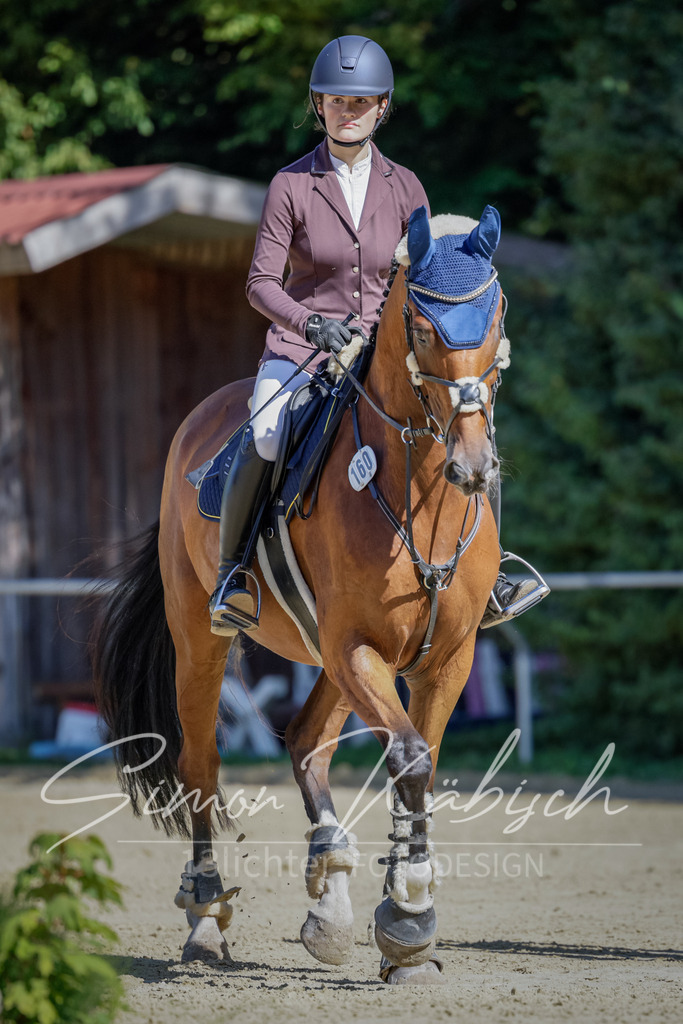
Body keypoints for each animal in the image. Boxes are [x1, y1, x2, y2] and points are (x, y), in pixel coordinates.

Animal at [94, 205, 509, 984]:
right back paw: (205, 916)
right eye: (420, 327)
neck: (421, 496)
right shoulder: (356, 646)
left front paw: (401, 927)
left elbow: (419, 763)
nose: (473, 465)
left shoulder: (444, 657)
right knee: (201, 762)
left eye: (495, 316)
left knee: (307, 744)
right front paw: (410, 914)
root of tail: (203, 416)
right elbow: (410, 757)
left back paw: (330, 898)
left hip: (331, 661)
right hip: (205, 641)